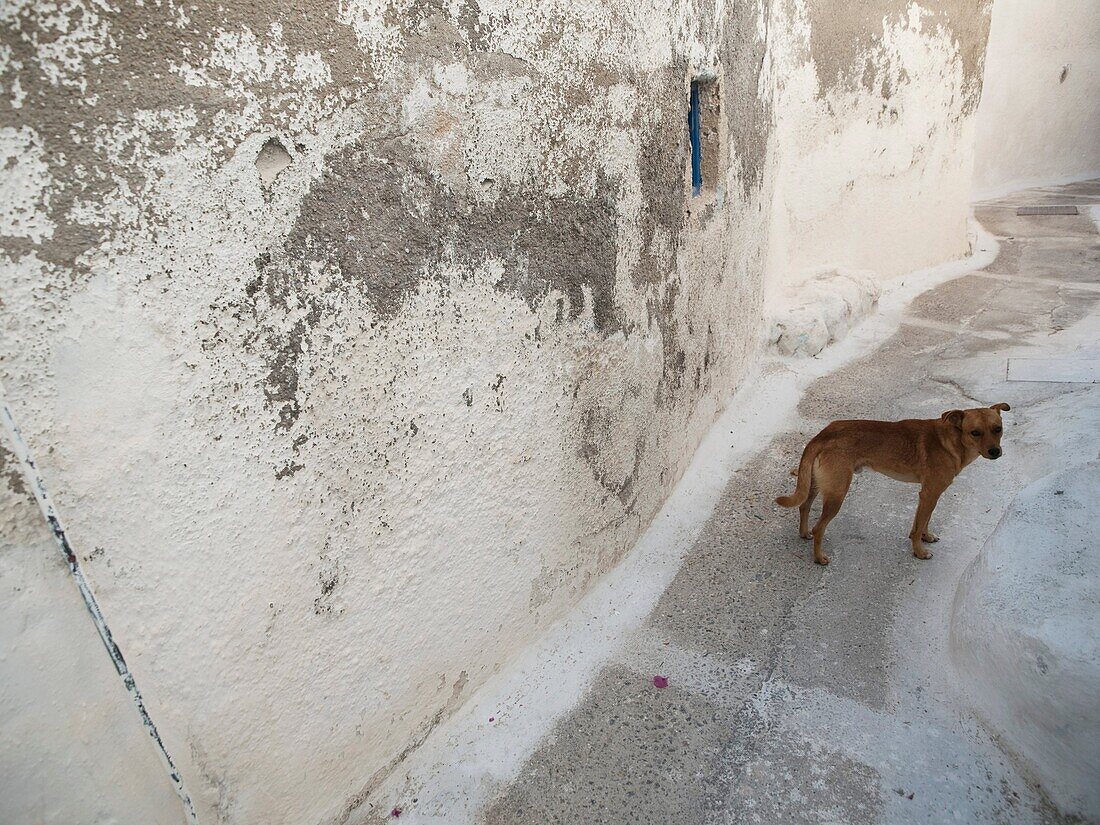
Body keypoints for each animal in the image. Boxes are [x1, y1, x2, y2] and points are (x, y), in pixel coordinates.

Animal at [778, 404, 1007, 567]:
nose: (995, 452)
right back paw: (819, 558)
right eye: (975, 432)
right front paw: (919, 552)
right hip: (837, 493)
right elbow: (919, 526)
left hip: (816, 485)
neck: (950, 440)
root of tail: (822, 435)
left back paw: (804, 533)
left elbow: (922, 522)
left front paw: (925, 537)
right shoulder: (930, 493)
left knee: (804, 506)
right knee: (819, 528)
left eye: (998, 429)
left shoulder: (928, 495)